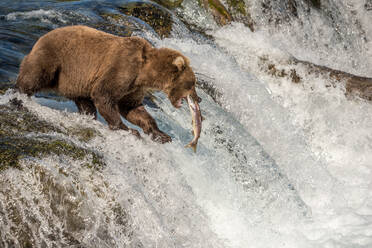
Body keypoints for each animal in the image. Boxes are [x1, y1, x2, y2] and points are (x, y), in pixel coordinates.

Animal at [16, 25, 201, 143]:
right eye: (192, 83)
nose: (198, 99)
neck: (144, 73)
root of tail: (41, 37)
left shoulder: (133, 88)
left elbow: (132, 108)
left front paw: (161, 135)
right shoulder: (123, 69)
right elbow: (104, 95)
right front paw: (129, 130)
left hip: (77, 81)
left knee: (84, 102)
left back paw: (88, 116)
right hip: (55, 60)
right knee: (34, 76)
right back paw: (19, 95)